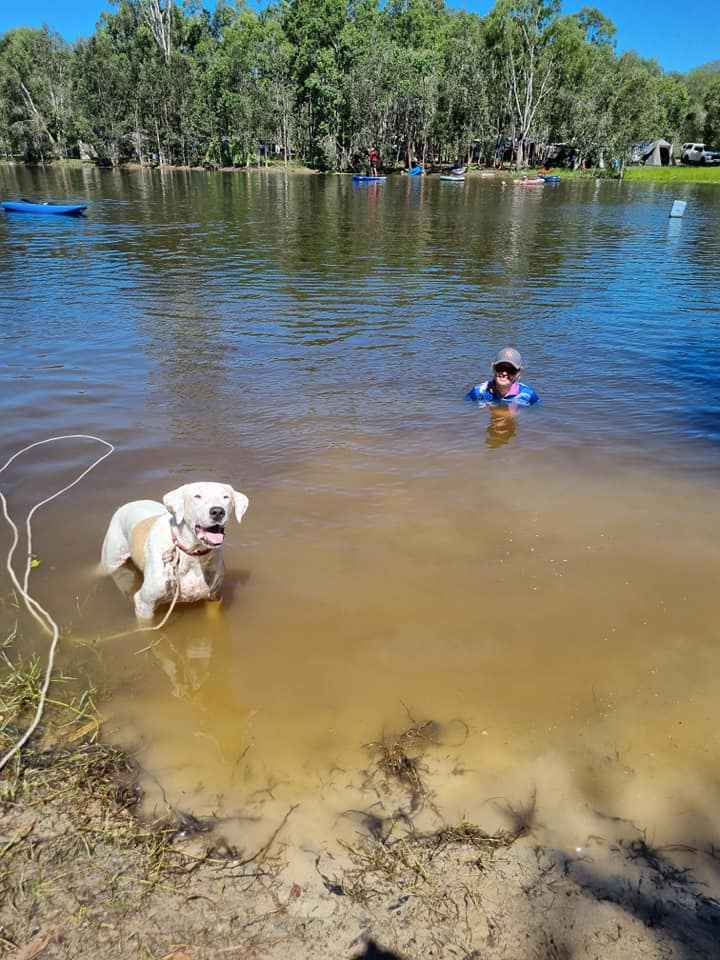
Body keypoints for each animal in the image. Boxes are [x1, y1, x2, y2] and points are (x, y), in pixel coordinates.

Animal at [100, 480, 249, 624]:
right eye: (197, 496)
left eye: (226, 497)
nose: (218, 511)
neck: (192, 555)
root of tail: (129, 504)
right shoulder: (144, 604)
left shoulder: (214, 597)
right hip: (112, 560)